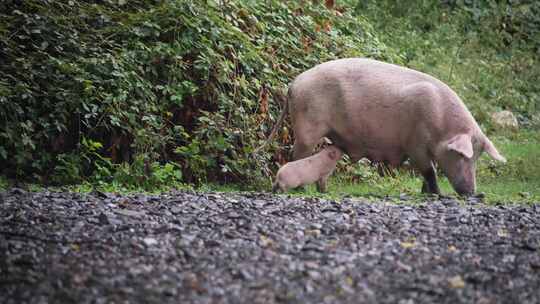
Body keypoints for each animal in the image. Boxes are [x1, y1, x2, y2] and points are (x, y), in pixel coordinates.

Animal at [262, 57, 506, 195]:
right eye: (463, 156)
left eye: (477, 158)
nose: (472, 193)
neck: (441, 124)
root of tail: (293, 84)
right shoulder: (415, 145)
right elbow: (430, 171)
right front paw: (437, 195)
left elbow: (428, 172)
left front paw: (426, 194)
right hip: (306, 127)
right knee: (297, 155)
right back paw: (301, 189)